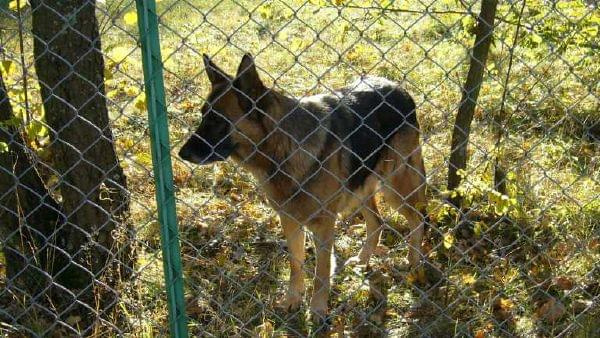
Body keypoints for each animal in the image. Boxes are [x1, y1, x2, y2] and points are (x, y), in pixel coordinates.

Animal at [178, 54, 426, 318]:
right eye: (203, 115)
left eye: (216, 120)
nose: (181, 154)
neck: (281, 148)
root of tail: (399, 88)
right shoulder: (290, 220)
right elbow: (295, 263)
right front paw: (293, 299)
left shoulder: (324, 225)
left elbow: (322, 271)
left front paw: (317, 308)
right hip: (361, 188)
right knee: (377, 222)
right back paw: (363, 259)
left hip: (395, 186)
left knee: (417, 218)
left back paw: (415, 263)